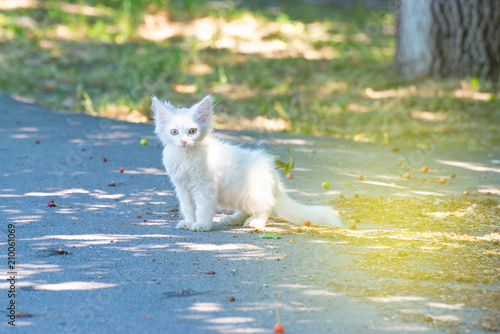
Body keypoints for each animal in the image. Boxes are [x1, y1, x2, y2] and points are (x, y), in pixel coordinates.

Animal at [150, 94, 342, 230]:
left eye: (192, 131)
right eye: (174, 132)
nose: (183, 141)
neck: (186, 156)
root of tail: (273, 176)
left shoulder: (204, 186)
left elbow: (202, 208)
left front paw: (202, 225)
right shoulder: (182, 187)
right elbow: (188, 208)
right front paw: (189, 222)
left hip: (252, 192)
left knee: (265, 208)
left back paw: (255, 223)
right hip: (235, 194)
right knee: (246, 208)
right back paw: (232, 219)